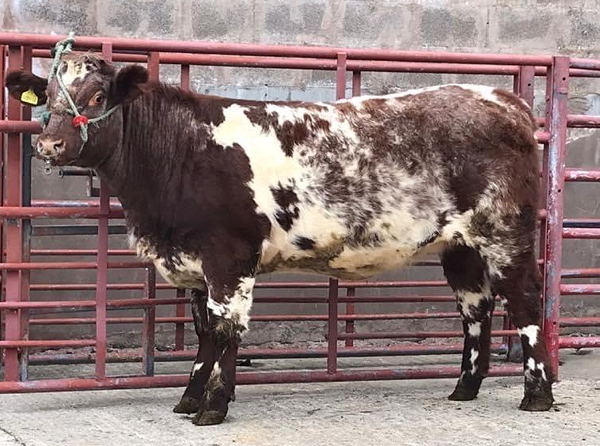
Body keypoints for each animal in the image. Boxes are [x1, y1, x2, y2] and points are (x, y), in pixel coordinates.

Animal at [4, 52, 556, 426]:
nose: (49, 144)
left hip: (505, 232)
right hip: (460, 247)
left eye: (97, 97)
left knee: (525, 300)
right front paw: (189, 399)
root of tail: (500, 98)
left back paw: (537, 394)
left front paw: (213, 407)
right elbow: (205, 334)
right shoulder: (195, 263)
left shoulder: (229, 257)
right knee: (476, 309)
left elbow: (227, 330)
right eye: (46, 99)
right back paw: (465, 387)